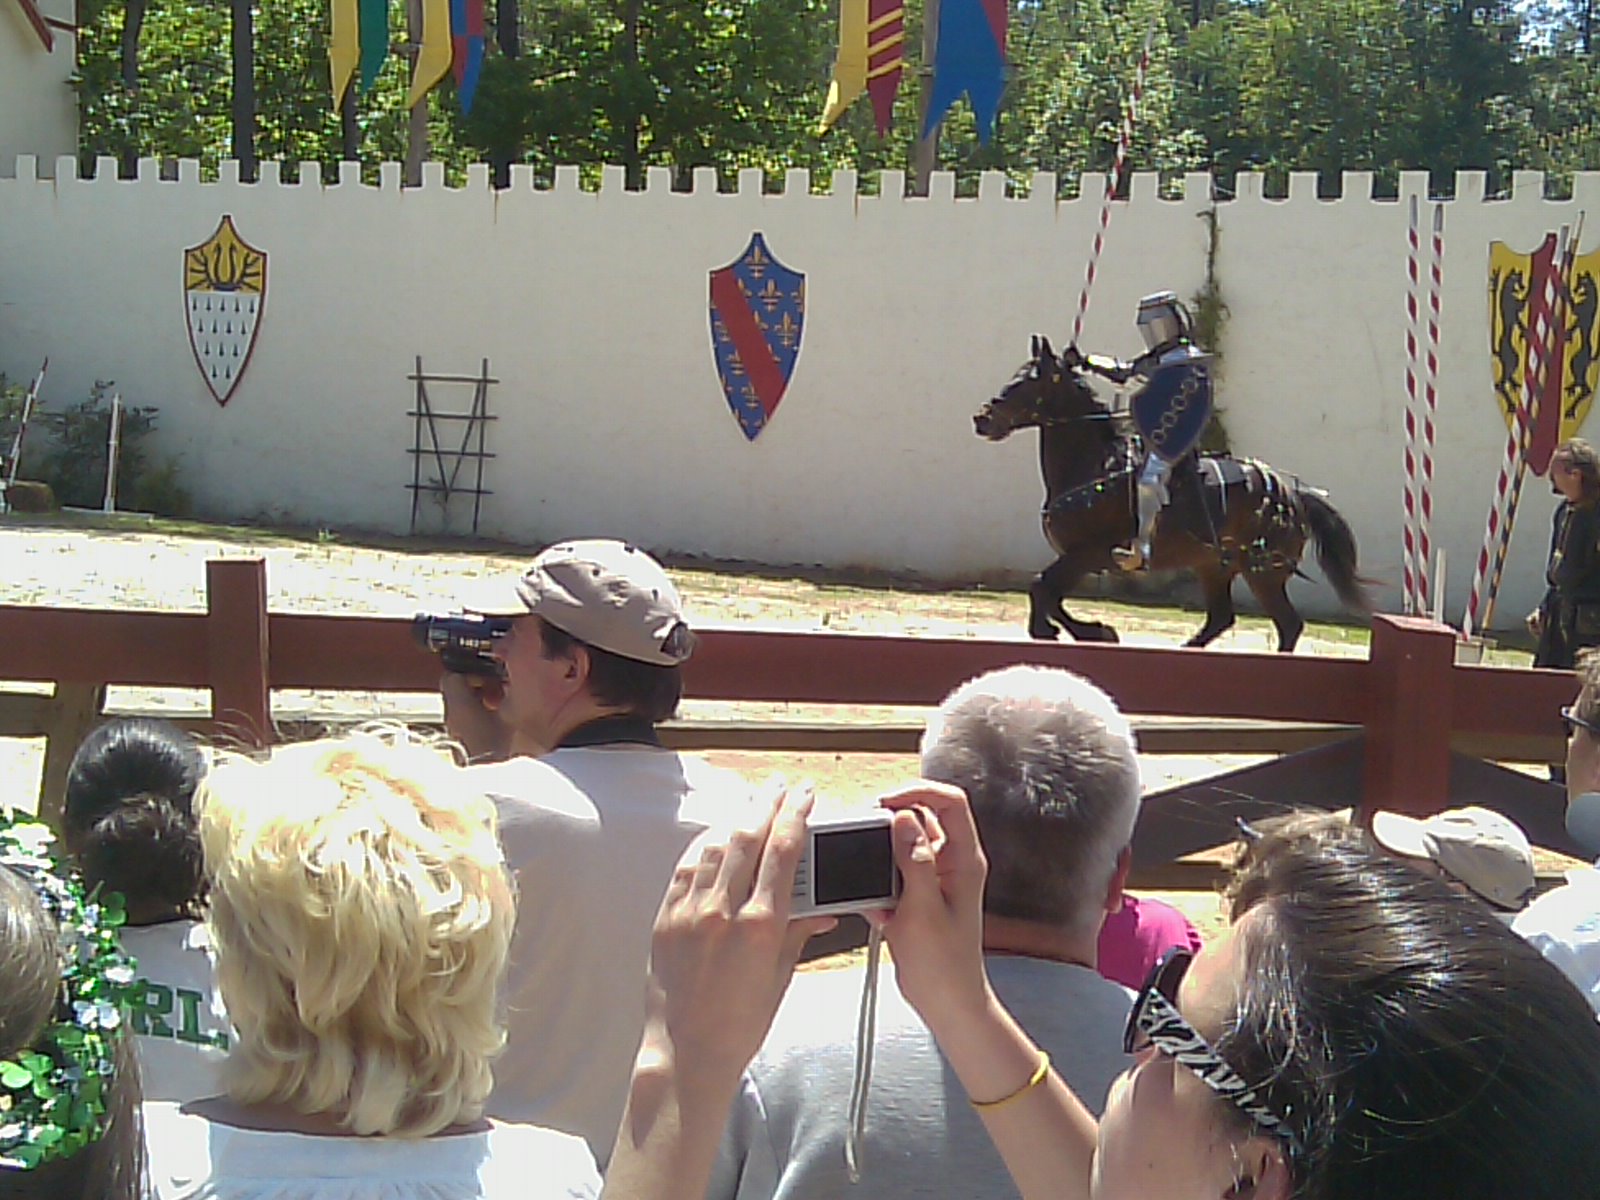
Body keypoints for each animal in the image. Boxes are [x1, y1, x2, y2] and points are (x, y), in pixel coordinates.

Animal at [973, 335, 1370, 652]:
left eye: (1029, 382)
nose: (983, 419)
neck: (1093, 465)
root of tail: (1292, 494)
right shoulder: (1078, 557)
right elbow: (1048, 594)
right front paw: (1088, 631)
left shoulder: (1088, 553)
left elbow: (1042, 589)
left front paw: (1083, 631)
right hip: (1215, 567)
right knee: (1222, 618)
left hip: (1263, 573)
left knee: (1288, 625)